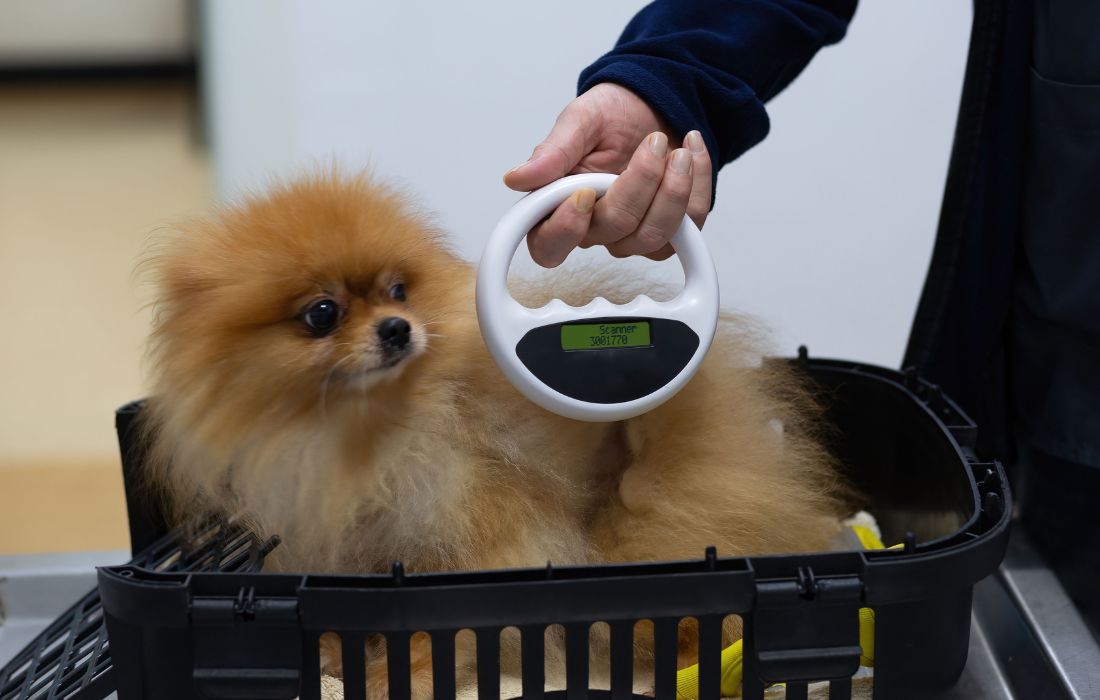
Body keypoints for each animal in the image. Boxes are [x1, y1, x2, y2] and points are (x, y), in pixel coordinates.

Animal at [139, 170, 849, 695]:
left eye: (399, 291)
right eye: (322, 313)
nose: (397, 328)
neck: (368, 434)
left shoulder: (480, 527)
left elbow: (438, 623)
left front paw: (402, 674)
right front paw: (341, 657)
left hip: (663, 516)